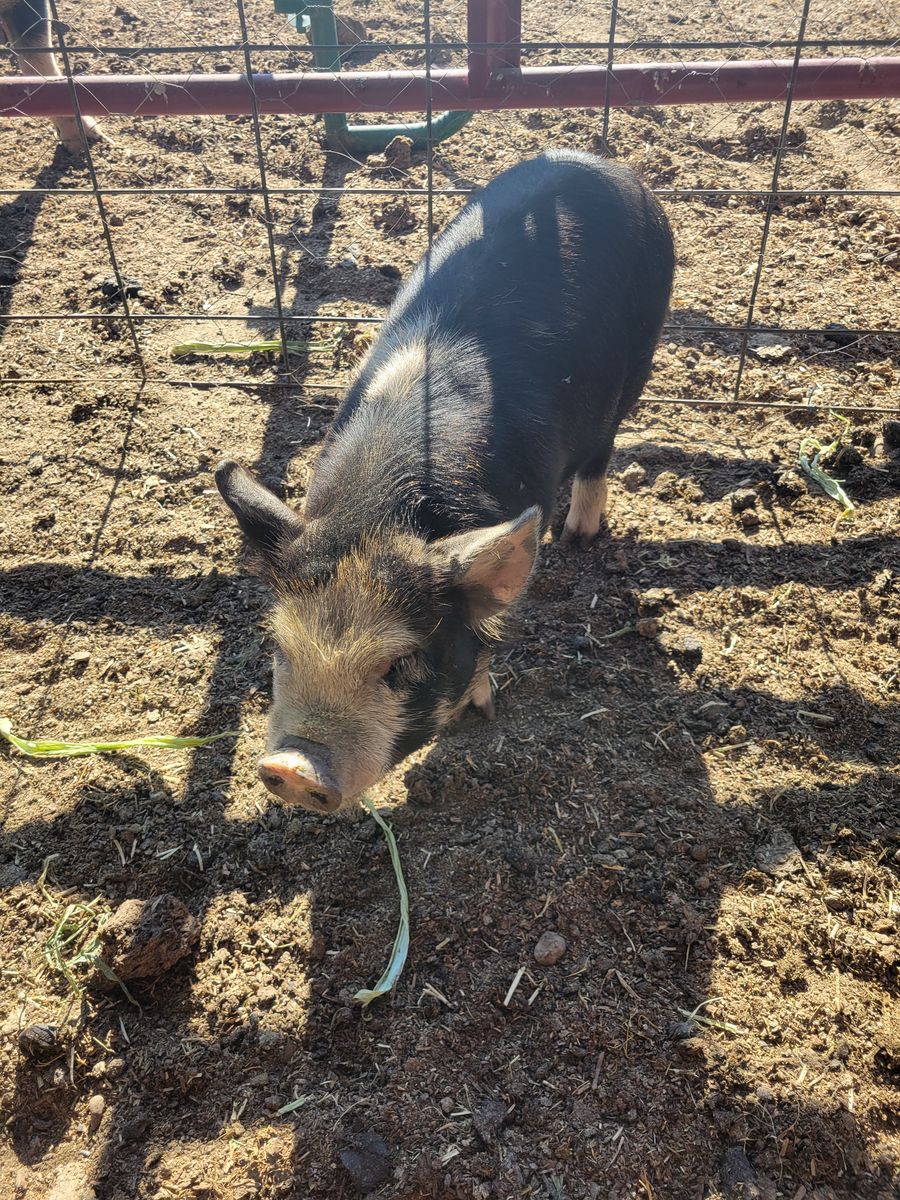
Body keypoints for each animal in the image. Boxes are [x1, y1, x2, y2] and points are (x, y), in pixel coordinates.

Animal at [217, 149, 674, 813]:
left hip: (641, 352)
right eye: (282, 651)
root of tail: (599, 163)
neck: (377, 511)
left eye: (400, 666)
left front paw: (477, 712)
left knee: (603, 447)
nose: (291, 767)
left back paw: (579, 537)